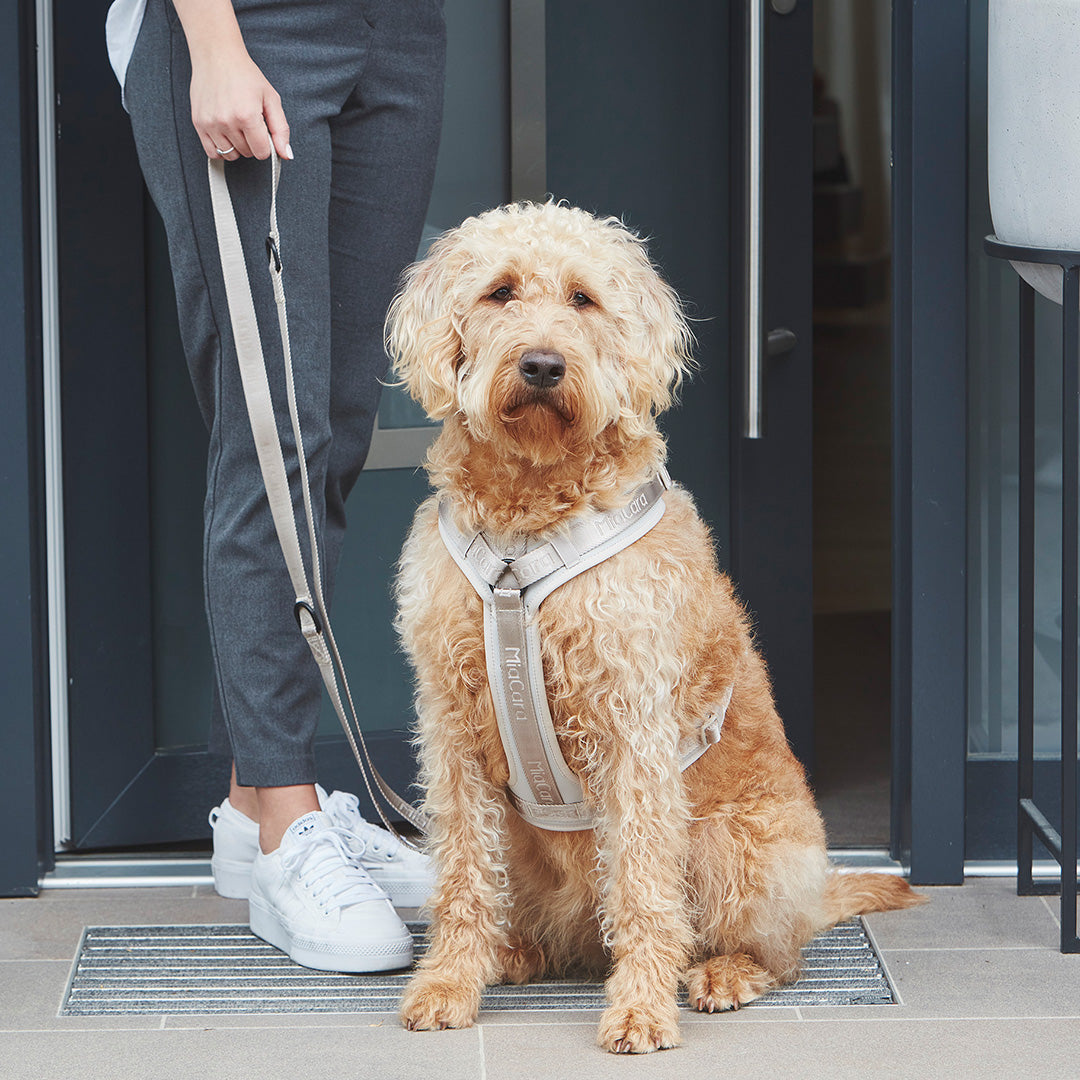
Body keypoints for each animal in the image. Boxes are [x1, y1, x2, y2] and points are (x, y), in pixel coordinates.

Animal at [386, 203, 920, 1054]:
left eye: (583, 298)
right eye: (500, 291)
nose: (542, 365)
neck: (524, 529)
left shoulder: (632, 727)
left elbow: (642, 886)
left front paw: (639, 1009)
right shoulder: (452, 732)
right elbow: (463, 874)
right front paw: (448, 982)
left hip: (731, 844)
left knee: (772, 951)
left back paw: (722, 974)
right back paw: (512, 954)